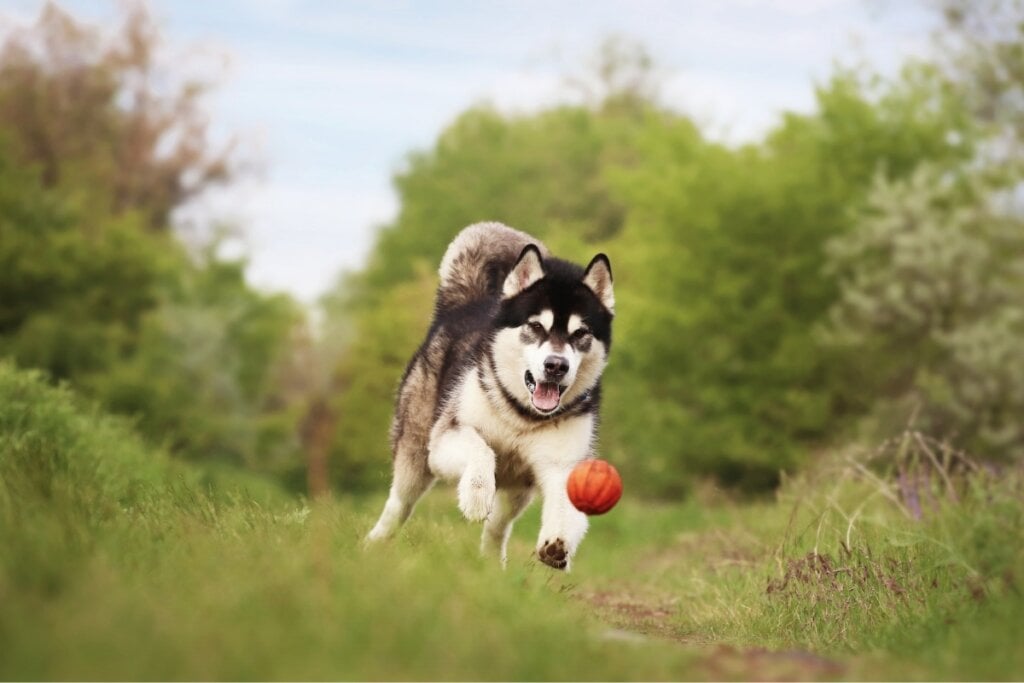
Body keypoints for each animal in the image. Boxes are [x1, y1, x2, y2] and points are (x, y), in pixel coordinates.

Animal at [364, 223, 610, 573]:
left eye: (580, 334)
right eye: (536, 326)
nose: (556, 365)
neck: (522, 416)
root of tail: (466, 304)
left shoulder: (563, 463)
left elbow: (565, 505)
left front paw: (558, 543)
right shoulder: (446, 438)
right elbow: (480, 450)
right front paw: (476, 496)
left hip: (518, 489)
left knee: (498, 527)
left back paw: (493, 566)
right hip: (416, 452)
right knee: (399, 505)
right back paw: (372, 544)